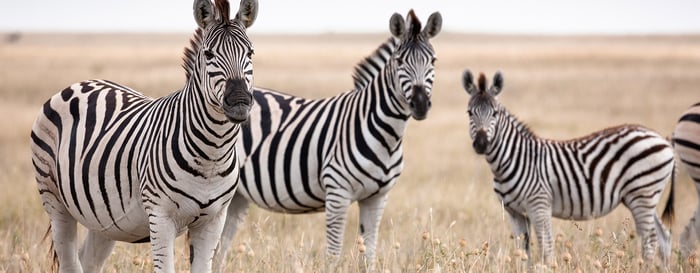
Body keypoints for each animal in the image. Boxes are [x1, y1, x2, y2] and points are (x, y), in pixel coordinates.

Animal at [30, 1, 258, 270]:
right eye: (209, 54)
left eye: (250, 53)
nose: (240, 102)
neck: (212, 155)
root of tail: (78, 84)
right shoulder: (161, 217)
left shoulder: (214, 220)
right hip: (54, 200)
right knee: (69, 260)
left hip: (103, 219)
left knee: (89, 261)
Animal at [213, 9, 442, 270]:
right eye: (399, 61)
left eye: (433, 61)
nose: (420, 104)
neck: (387, 135)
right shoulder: (337, 192)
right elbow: (333, 254)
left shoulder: (377, 198)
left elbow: (369, 255)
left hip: (237, 196)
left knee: (219, 249)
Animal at [462, 68, 676, 266]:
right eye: (469, 113)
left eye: (495, 113)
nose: (481, 144)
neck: (511, 160)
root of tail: (663, 140)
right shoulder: (514, 213)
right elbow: (522, 253)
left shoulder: (539, 205)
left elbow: (546, 250)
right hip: (645, 196)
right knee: (664, 237)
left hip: (642, 193)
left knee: (650, 241)